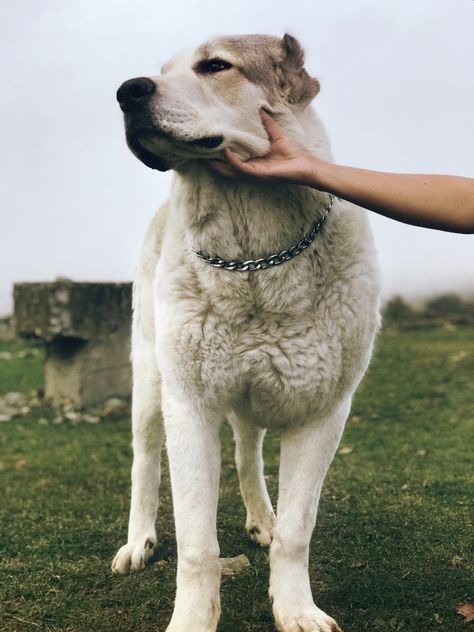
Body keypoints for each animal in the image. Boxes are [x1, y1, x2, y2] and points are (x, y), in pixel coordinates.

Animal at [111, 34, 382, 632]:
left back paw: (262, 518)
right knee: (145, 463)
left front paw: (296, 609)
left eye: (215, 65)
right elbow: (197, 545)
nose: (126, 90)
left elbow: (297, 532)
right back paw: (138, 542)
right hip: (151, 385)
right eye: (161, 70)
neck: (254, 263)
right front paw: (193, 619)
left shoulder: (324, 414)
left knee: (247, 452)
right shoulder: (188, 407)